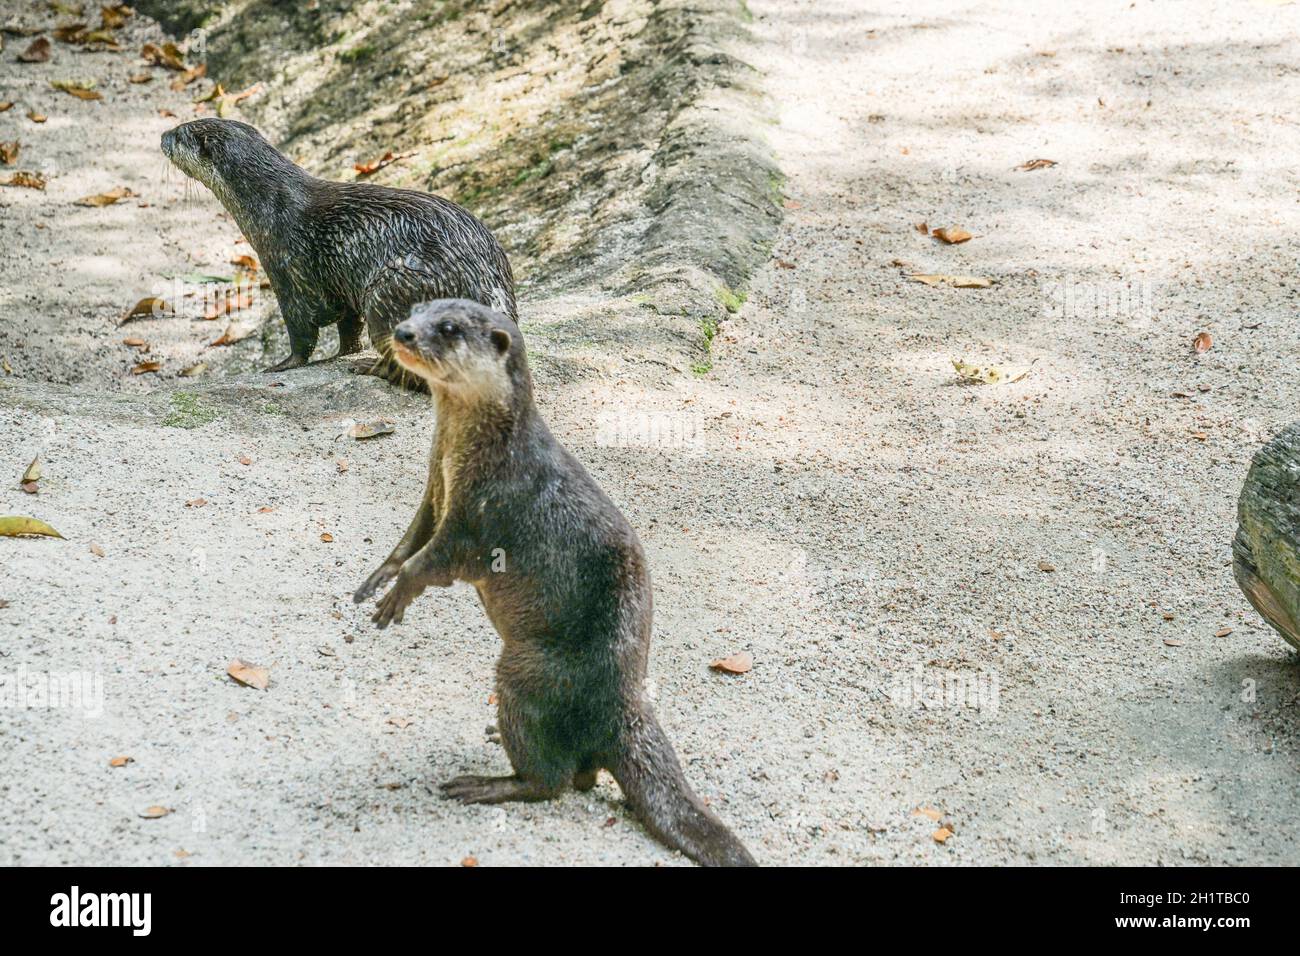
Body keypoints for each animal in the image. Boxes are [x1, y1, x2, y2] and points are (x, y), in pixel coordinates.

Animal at [165, 119, 520, 390]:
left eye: (181, 132)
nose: (163, 136)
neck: (271, 206)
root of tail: (486, 286)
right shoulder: (342, 283)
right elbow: (348, 324)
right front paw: (342, 354)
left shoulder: (288, 269)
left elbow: (302, 330)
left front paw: (283, 365)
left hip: (391, 293)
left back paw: (371, 369)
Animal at [356, 299, 759, 868]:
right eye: (416, 309)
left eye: (449, 328)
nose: (403, 332)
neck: (482, 450)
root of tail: (623, 703)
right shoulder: (436, 490)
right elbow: (410, 539)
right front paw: (377, 578)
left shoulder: (482, 518)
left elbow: (436, 562)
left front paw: (398, 596)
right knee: (583, 775)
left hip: (530, 670)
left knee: (554, 782)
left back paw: (489, 783)